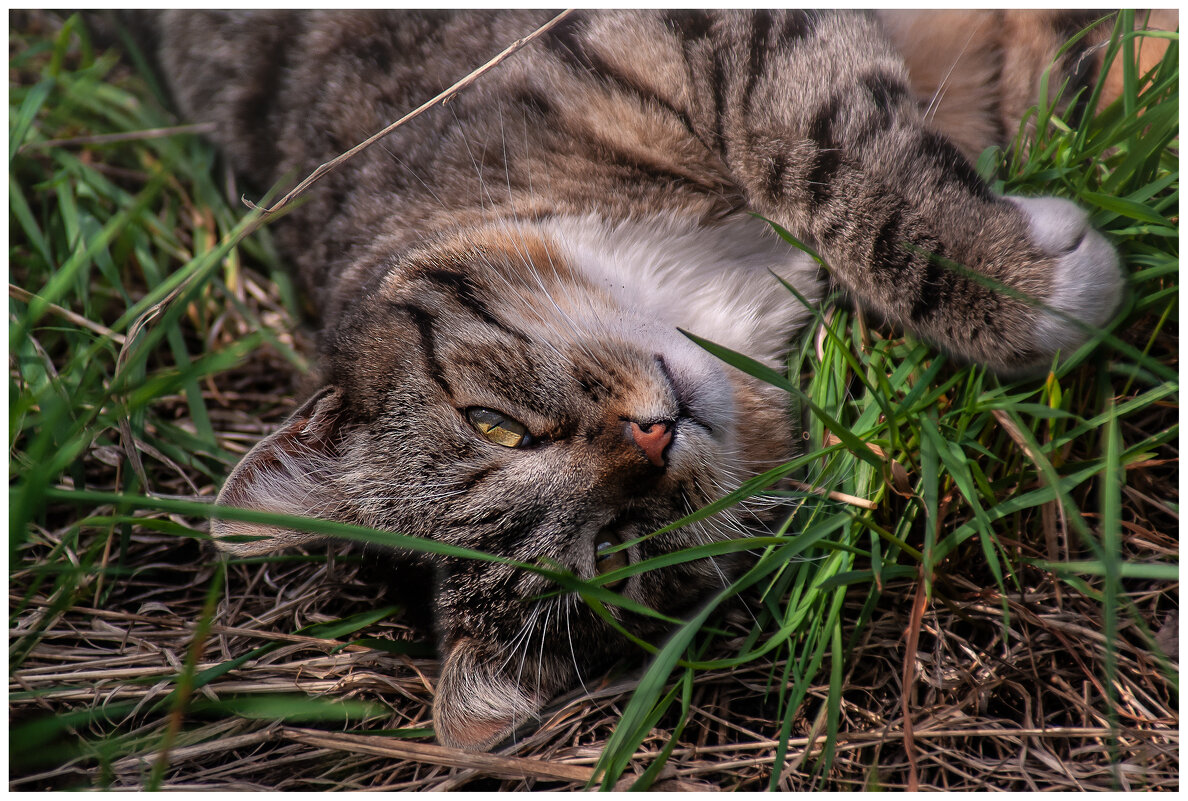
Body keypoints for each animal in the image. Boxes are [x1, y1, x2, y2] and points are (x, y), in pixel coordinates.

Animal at [141, 10, 1130, 751]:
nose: (654, 435)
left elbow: (824, 162)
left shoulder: (683, 35)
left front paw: (1023, 292)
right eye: (613, 548)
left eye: (495, 423)